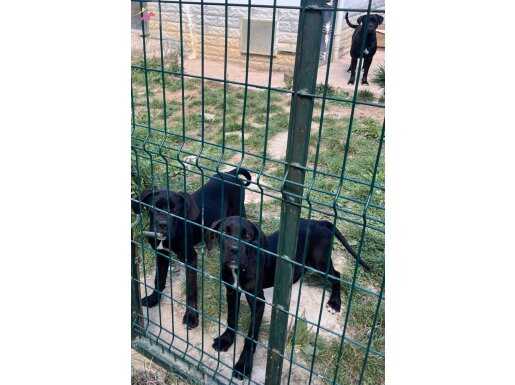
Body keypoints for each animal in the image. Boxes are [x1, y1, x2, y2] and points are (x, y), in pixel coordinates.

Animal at [133, 168, 252, 328]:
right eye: (154, 208)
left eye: (175, 210)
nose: (162, 225)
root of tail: (231, 173)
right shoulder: (161, 254)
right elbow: (159, 278)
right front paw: (154, 298)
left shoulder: (190, 259)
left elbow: (191, 290)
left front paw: (191, 316)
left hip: (239, 212)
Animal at [207, 216, 370, 378]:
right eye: (224, 232)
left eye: (247, 236)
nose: (233, 249)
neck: (238, 270)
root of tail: (320, 222)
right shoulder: (231, 292)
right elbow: (231, 318)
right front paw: (226, 340)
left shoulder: (258, 301)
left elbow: (251, 336)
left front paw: (243, 365)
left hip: (320, 262)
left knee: (337, 275)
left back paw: (335, 303)